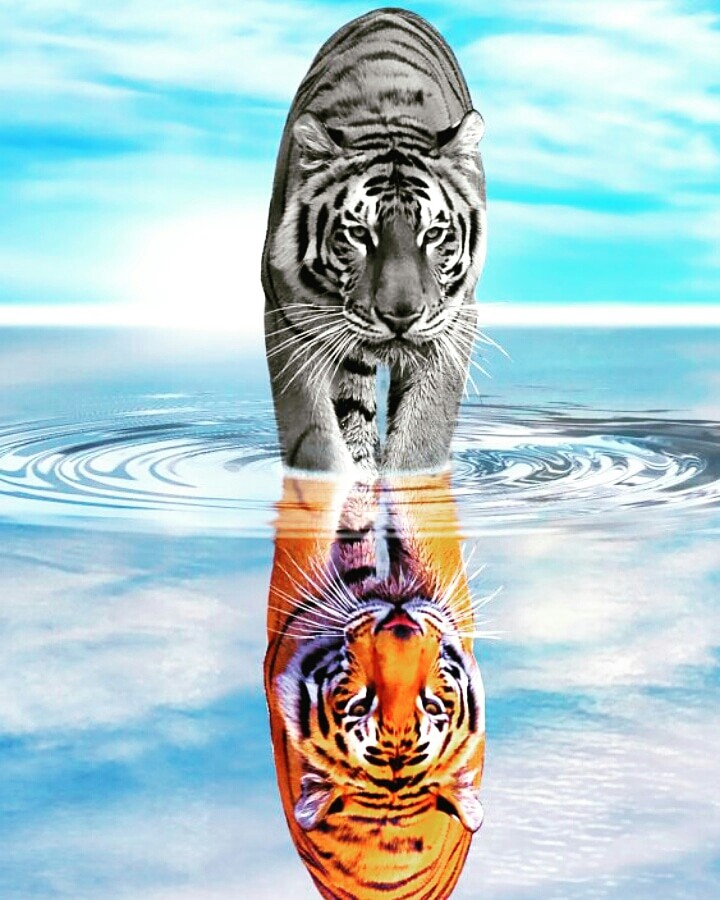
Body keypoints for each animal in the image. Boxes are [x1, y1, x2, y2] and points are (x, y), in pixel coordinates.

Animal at [262, 8, 486, 474]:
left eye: (433, 233)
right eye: (359, 234)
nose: (400, 318)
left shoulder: (453, 324)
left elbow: (422, 436)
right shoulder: (288, 320)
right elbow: (316, 439)